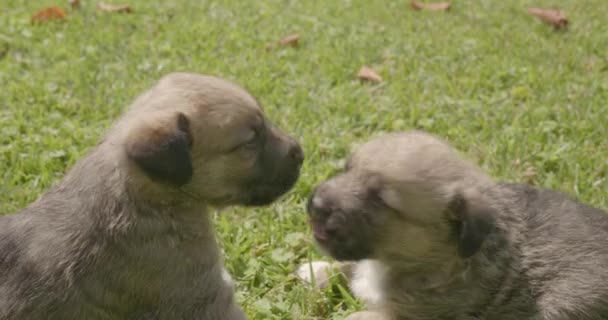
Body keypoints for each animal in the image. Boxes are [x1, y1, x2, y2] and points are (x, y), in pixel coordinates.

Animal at [298, 131, 608, 320]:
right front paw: (316, 270)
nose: (314, 205)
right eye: (347, 169)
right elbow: (348, 267)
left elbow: (356, 315)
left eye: (381, 200)